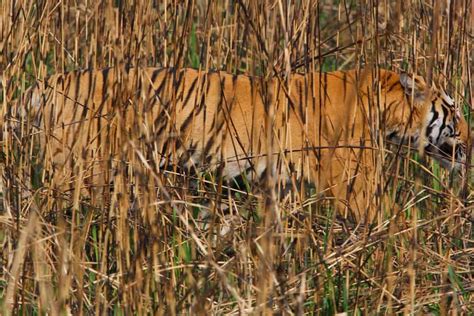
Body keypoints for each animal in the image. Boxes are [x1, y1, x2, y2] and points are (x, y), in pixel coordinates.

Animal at [24, 66, 468, 222]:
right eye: (453, 111)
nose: (470, 142)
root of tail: (51, 82)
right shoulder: (354, 188)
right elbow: (394, 220)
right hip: (79, 169)